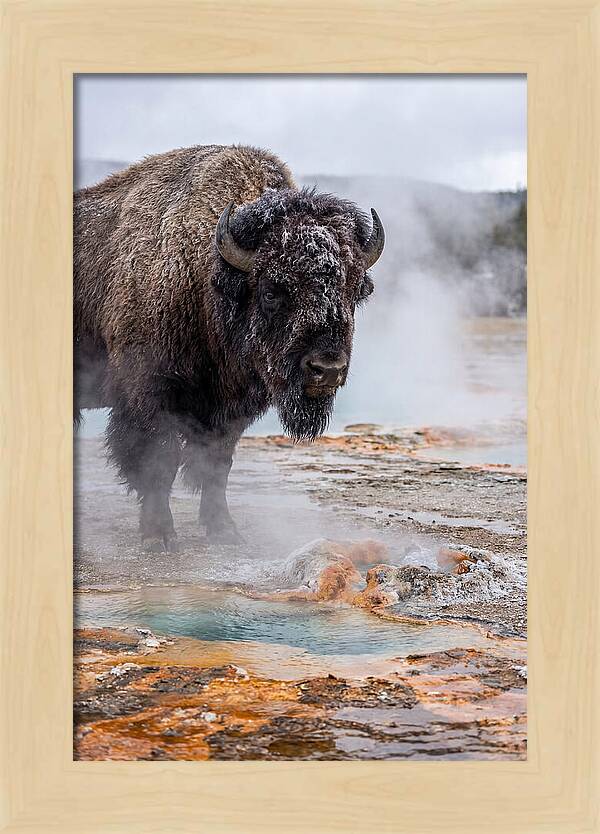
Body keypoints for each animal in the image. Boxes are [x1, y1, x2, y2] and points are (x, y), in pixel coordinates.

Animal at [74, 144, 384, 549]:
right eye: (271, 291)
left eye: (353, 291)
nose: (327, 369)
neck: (206, 277)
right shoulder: (148, 397)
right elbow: (159, 463)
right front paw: (160, 536)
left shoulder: (229, 411)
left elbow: (217, 466)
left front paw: (224, 530)